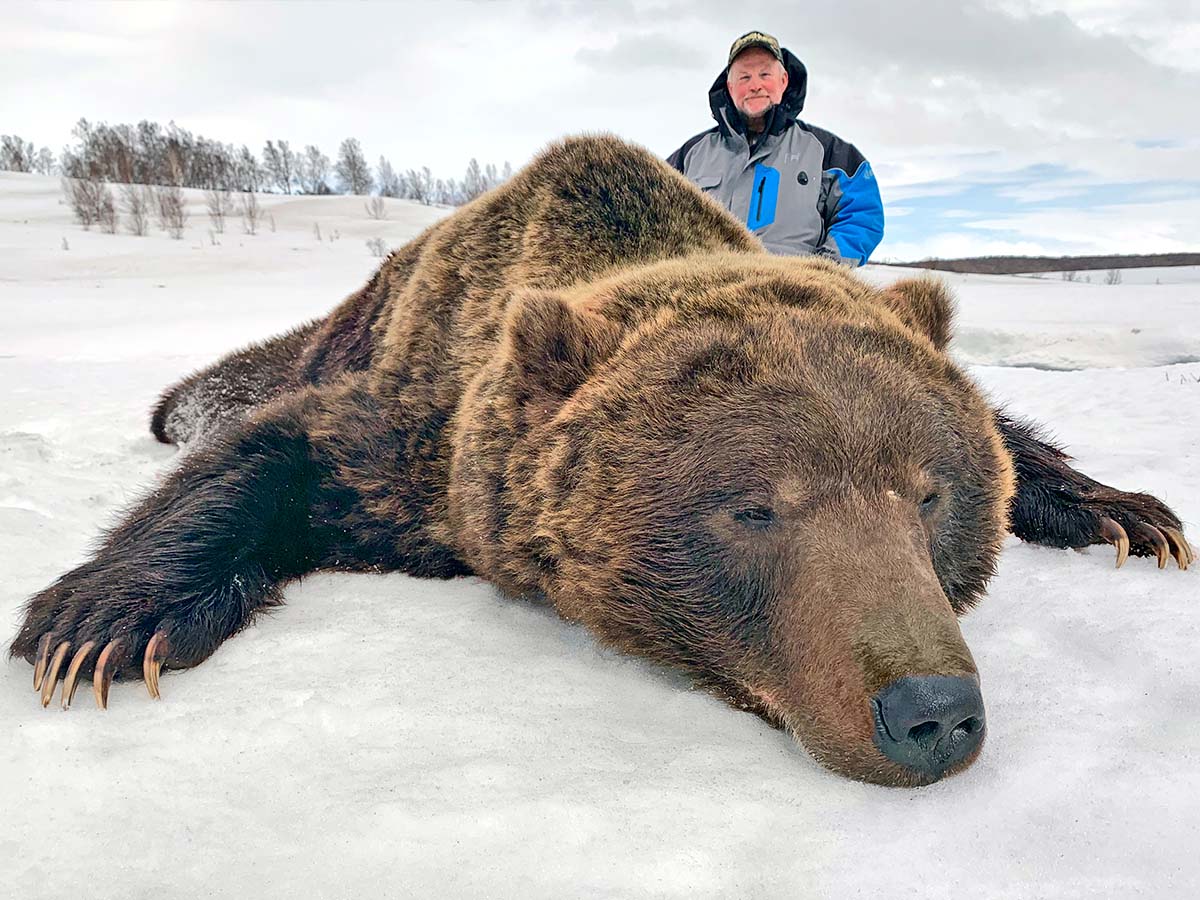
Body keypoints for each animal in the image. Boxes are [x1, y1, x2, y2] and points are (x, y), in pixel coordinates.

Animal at [11, 135, 1192, 787]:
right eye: (753, 507)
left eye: (930, 495)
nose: (929, 711)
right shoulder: (421, 432)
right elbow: (279, 450)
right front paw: (98, 625)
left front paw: (1132, 513)